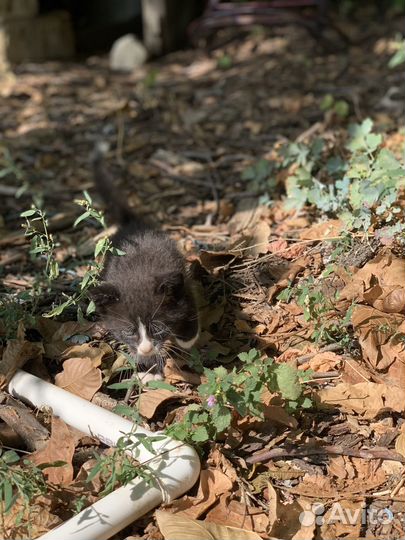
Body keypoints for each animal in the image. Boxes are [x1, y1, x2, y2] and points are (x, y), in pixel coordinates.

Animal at [90, 144, 200, 380]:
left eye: (157, 327)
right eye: (129, 331)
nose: (146, 348)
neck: (136, 275)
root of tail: (133, 226)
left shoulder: (180, 278)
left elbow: (188, 301)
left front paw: (187, 337)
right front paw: (148, 368)